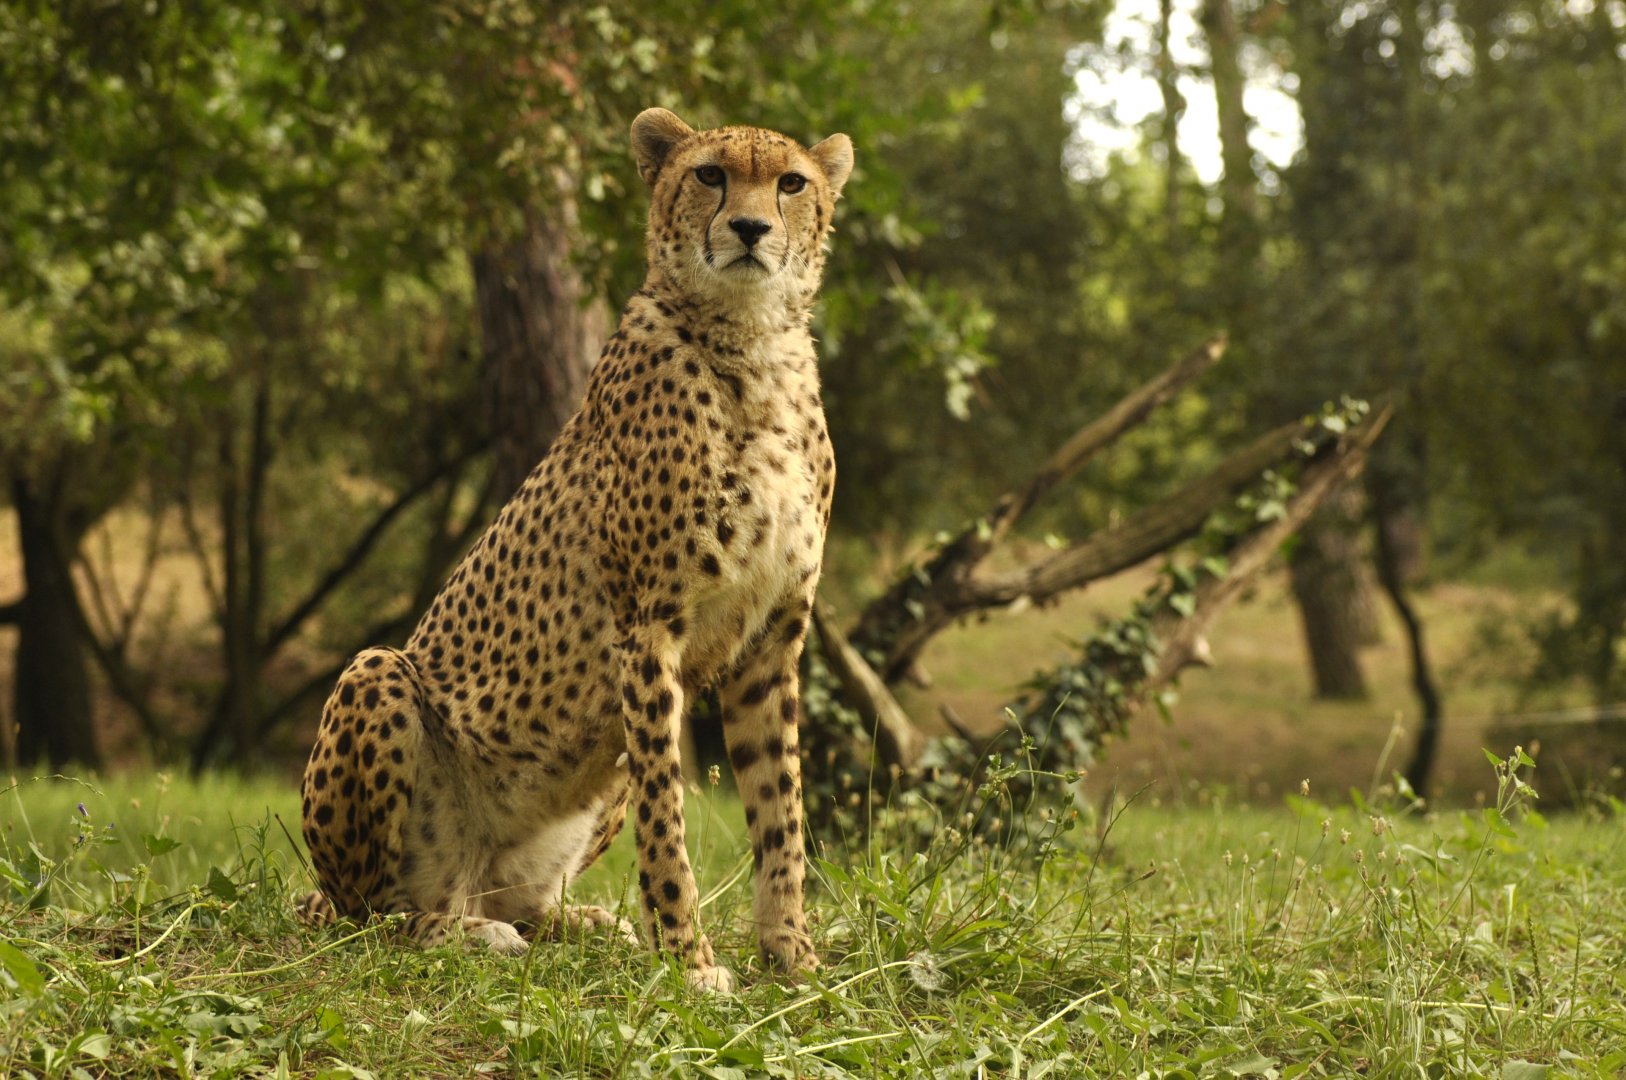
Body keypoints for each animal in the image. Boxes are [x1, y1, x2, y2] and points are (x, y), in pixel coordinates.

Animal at [296, 107, 852, 992]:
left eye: (791, 183)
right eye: (710, 175)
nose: (751, 228)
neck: (753, 343)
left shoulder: (773, 639)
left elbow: (782, 816)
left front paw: (792, 958)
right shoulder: (647, 629)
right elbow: (670, 820)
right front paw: (690, 962)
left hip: (590, 779)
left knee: (515, 899)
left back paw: (577, 923)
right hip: (378, 676)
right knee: (375, 917)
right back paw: (460, 933)